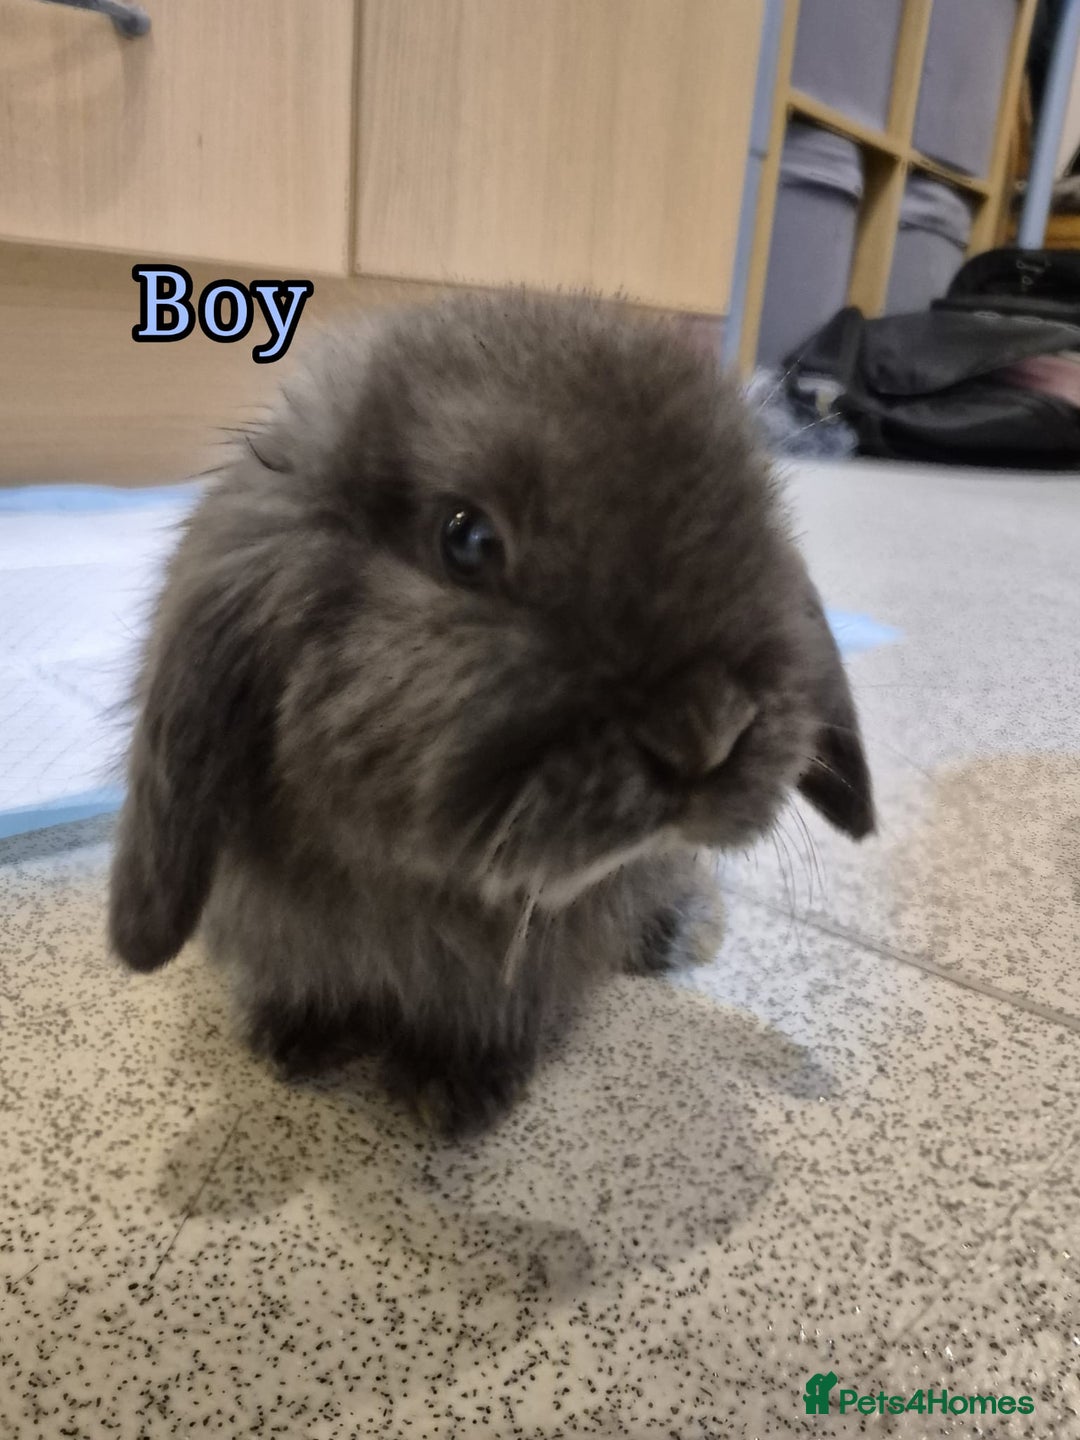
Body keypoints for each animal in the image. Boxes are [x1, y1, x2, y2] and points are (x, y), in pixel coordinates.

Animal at [108, 289, 873, 1135]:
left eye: (759, 520)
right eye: (467, 540)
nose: (708, 731)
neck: (416, 879)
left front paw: (453, 1085)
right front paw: (292, 1037)